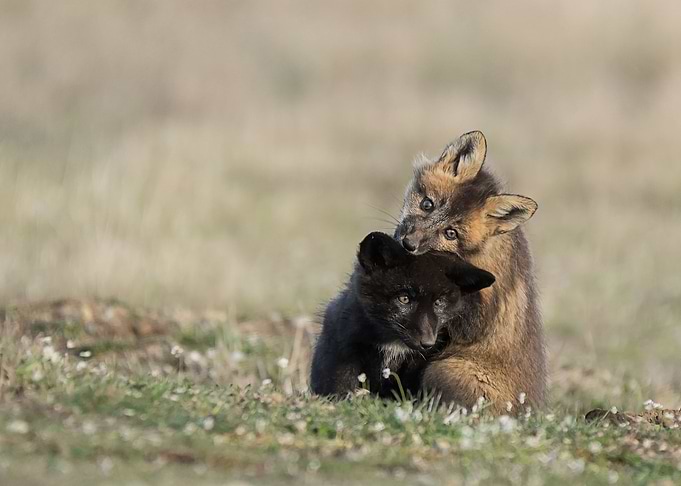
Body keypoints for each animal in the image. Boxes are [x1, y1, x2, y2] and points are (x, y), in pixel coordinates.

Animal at [310, 232, 495, 399]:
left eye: (439, 302)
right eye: (404, 298)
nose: (427, 342)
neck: (393, 343)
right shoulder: (343, 345)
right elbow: (340, 383)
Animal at [393, 130, 546, 413]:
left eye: (450, 233)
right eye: (428, 204)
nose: (408, 244)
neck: (477, 252)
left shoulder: (478, 317)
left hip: (446, 369)